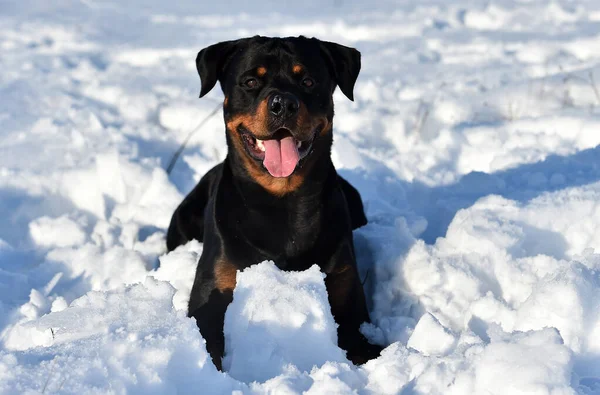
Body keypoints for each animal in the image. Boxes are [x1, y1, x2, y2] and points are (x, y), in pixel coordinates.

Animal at [165, 34, 380, 372]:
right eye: (251, 81)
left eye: (308, 80)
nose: (284, 104)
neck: (282, 203)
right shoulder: (215, 285)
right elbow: (209, 340)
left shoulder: (344, 285)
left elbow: (362, 343)